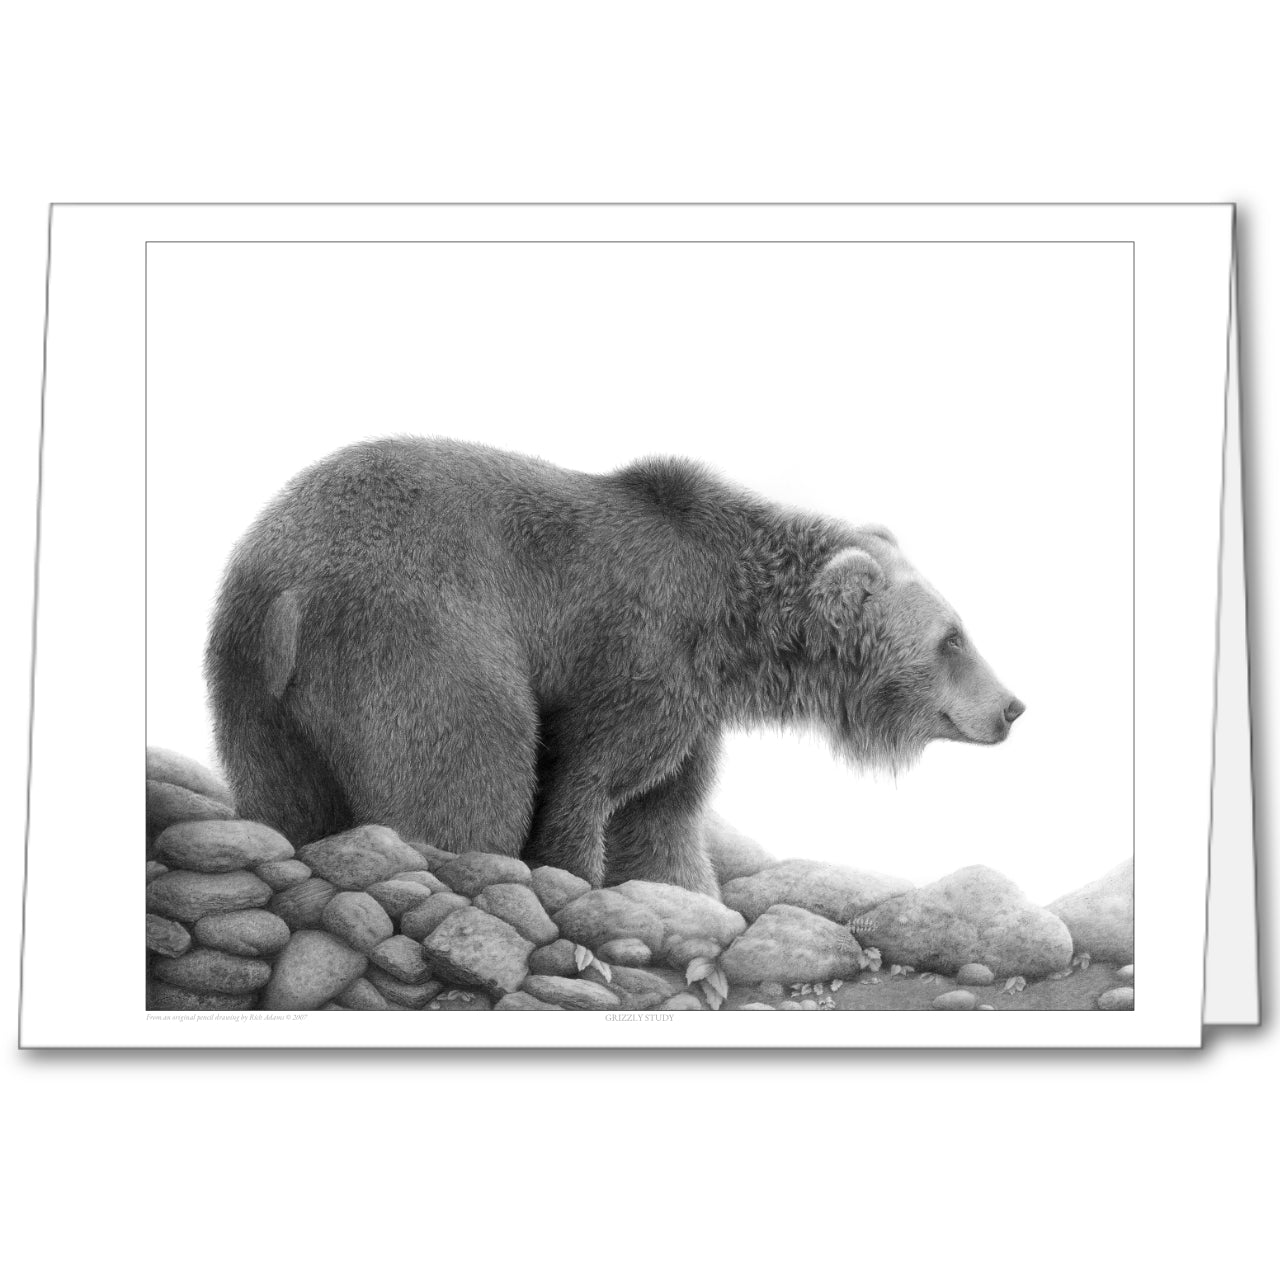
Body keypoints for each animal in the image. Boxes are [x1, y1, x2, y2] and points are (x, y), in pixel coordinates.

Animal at [206, 437, 1024, 900]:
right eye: (952, 638)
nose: (1013, 706)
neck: (732, 624)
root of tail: (286, 589)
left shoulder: (695, 708)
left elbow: (660, 815)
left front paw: (685, 893)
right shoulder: (641, 655)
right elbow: (590, 780)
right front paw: (574, 878)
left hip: (250, 685)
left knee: (285, 795)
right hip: (421, 638)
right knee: (467, 774)